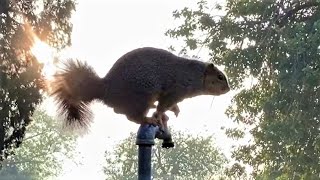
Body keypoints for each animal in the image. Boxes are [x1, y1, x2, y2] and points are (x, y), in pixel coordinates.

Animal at [49, 47, 230, 130]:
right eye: (220, 77)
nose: (228, 89)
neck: (195, 75)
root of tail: (107, 91)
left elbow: (169, 105)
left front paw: (175, 109)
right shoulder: (175, 90)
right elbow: (163, 105)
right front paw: (160, 114)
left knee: (119, 111)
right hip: (142, 96)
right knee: (131, 116)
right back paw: (148, 119)